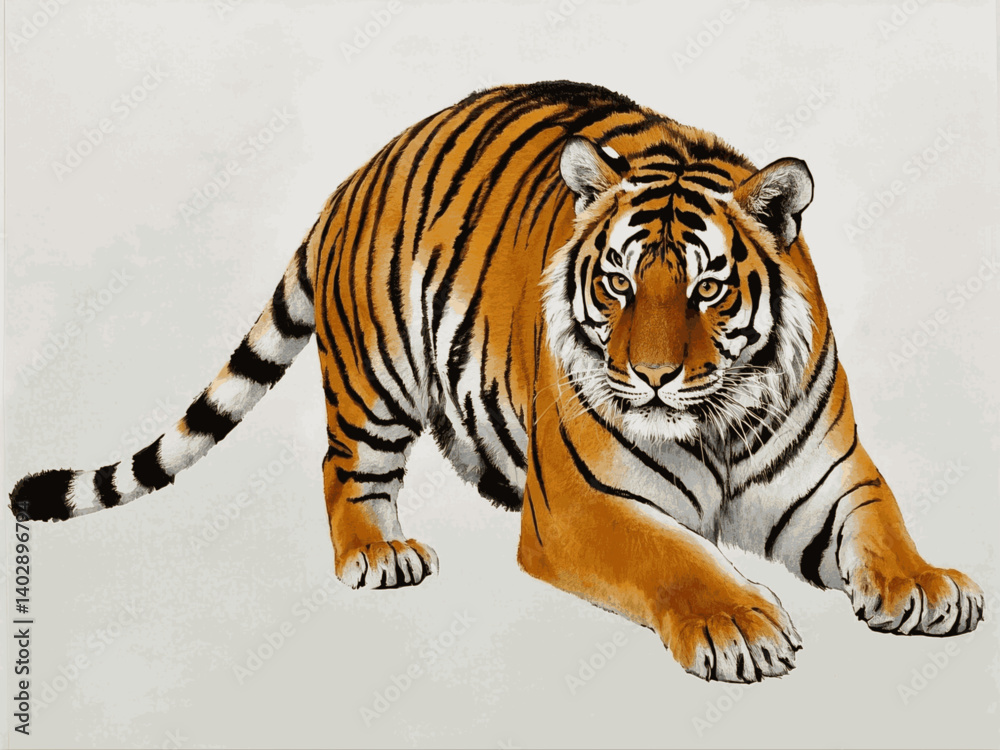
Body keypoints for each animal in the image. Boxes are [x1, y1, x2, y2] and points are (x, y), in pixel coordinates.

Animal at [10, 80, 984, 683]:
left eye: (707, 288)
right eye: (618, 282)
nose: (652, 378)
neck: (713, 423)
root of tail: (356, 171)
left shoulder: (833, 479)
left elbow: (884, 525)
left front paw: (928, 587)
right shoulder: (580, 507)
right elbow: (673, 555)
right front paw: (737, 623)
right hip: (375, 380)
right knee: (343, 468)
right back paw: (379, 555)